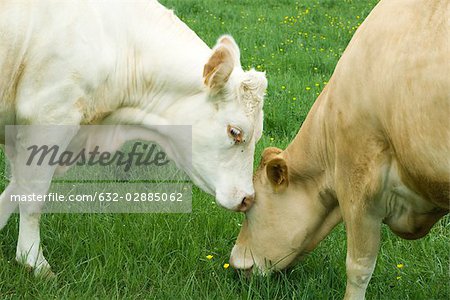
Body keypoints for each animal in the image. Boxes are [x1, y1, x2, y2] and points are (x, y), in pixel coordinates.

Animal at [0, 0, 268, 276]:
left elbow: (15, 188)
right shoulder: (48, 116)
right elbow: (33, 195)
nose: (248, 198)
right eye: (235, 132)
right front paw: (35, 262)